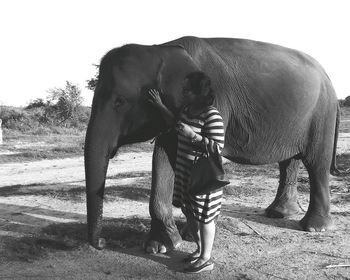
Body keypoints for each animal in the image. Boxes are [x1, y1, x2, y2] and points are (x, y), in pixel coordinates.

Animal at [85, 35, 340, 252]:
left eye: (120, 101)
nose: (103, 242)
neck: (162, 48)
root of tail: (328, 76)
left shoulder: (216, 100)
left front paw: (188, 236)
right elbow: (164, 155)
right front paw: (163, 245)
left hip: (322, 115)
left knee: (316, 164)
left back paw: (314, 227)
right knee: (289, 162)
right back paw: (279, 213)